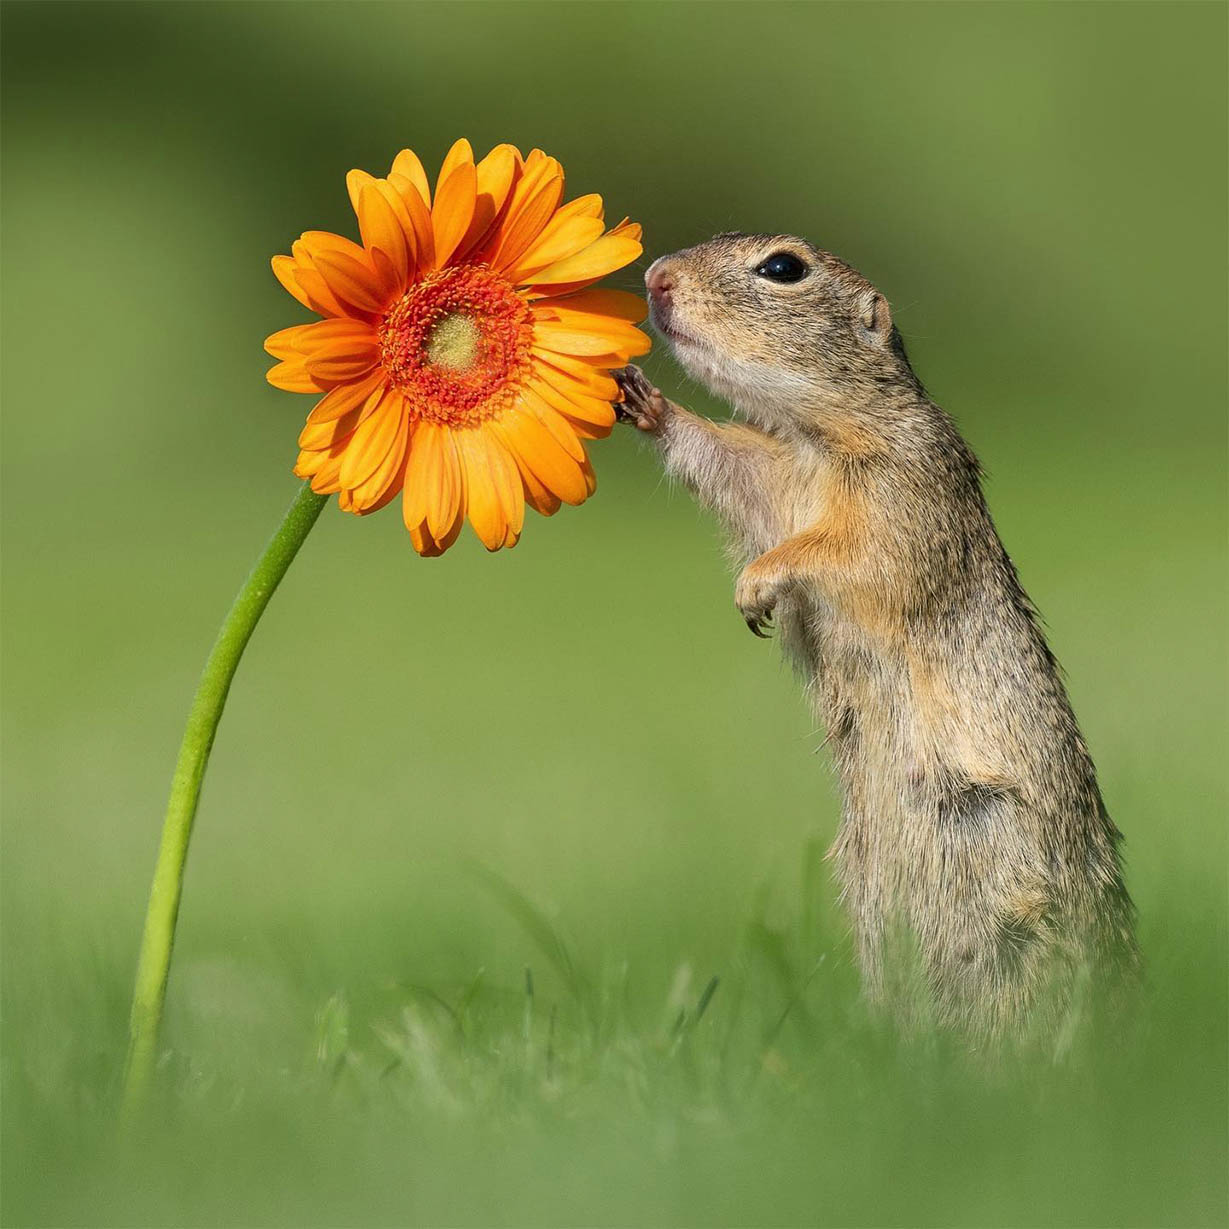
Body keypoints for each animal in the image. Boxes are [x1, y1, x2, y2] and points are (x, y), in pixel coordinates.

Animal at [613, 233, 1138, 1038]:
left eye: (783, 267)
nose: (655, 277)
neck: (816, 435)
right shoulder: (769, 470)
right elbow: (725, 463)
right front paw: (644, 401)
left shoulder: (904, 484)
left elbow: (851, 556)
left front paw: (758, 585)